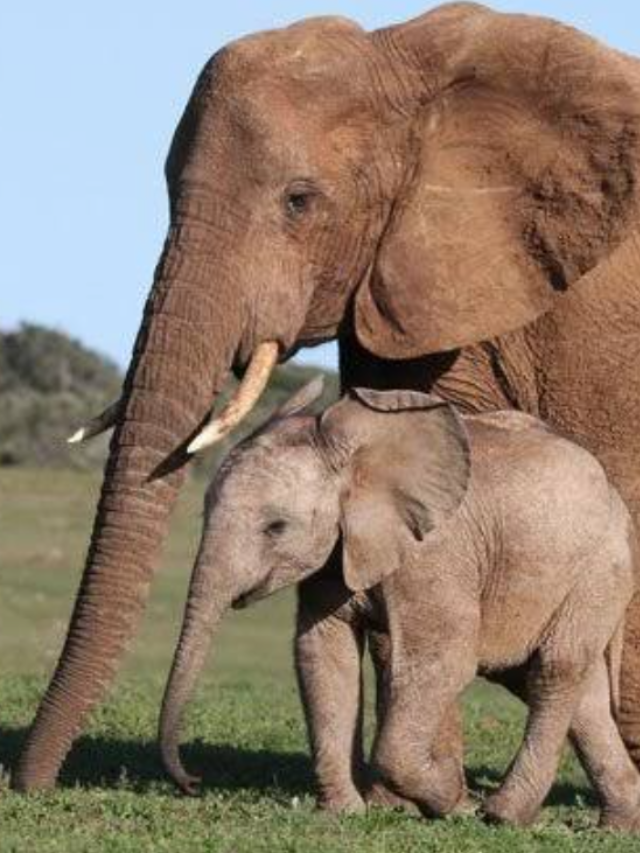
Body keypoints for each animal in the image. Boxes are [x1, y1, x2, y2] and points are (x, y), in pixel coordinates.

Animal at [159, 382, 640, 832]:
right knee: (577, 692)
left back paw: (502, 815)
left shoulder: (435, 552)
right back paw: (617, 824)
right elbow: (324, 654)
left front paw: (453, 804)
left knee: (554, 671)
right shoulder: (337, 553)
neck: (353, 457)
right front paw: (343, 814)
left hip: (598, 572)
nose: (193, 782)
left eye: (275, 527)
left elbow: (443, 659)